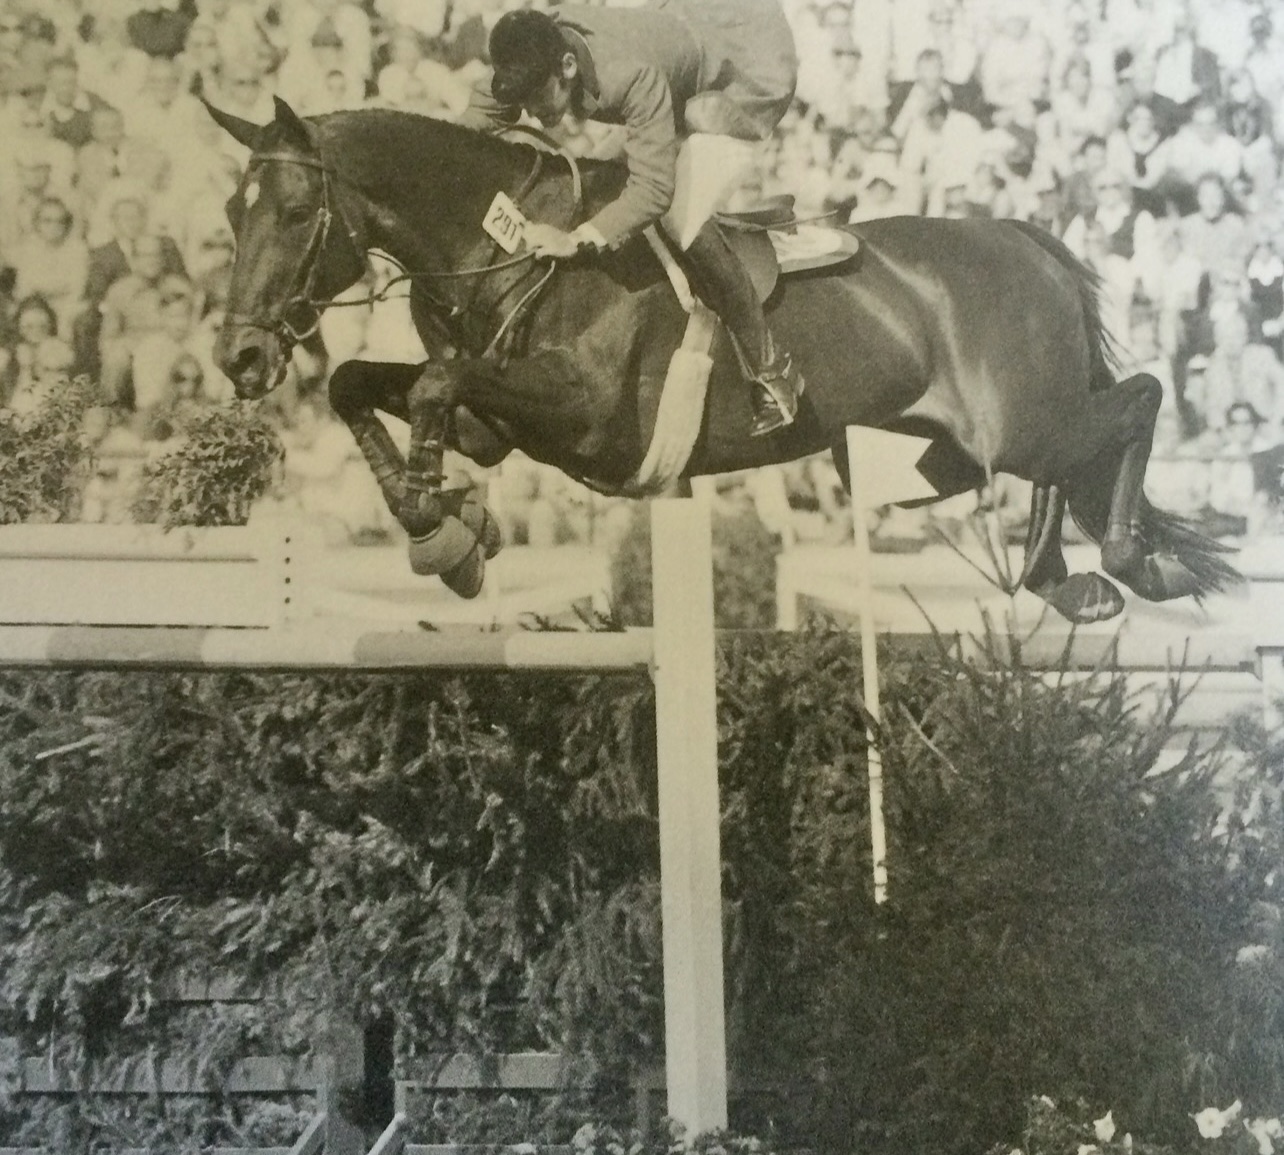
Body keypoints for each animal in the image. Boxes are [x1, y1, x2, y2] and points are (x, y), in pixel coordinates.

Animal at [210, 98, 1242, 623]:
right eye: (231, 209)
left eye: (295, 213)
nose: (240, 355)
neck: (514, 245)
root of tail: (1027, 239)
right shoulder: (491, 427)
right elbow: (366, 383)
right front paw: (442, 518)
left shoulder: (585, 416)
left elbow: (430, 382)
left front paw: (441, 527)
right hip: (948, 450)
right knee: (1056, 466)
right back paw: (1060, 577)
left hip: (1020, 421)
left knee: (1137, 401)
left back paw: (1126, 565)